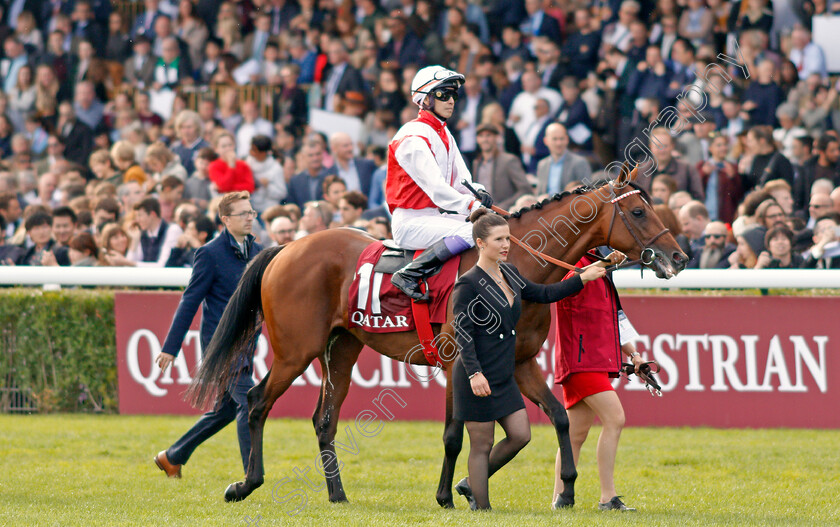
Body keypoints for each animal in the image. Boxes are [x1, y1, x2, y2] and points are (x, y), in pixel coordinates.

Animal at [189, 168, 688, 508]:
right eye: (639, 210)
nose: (680, 257)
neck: (513, 266)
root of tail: (287, 247)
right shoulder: (457, 363)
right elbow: (452, 434)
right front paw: (449, 494)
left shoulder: (521, 363)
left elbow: (557, 419)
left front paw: (561, 490)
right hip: (295, 350)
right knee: (257, 402)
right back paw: (246, 483)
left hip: (342, 350)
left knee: (323, 420)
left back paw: (338, 494)